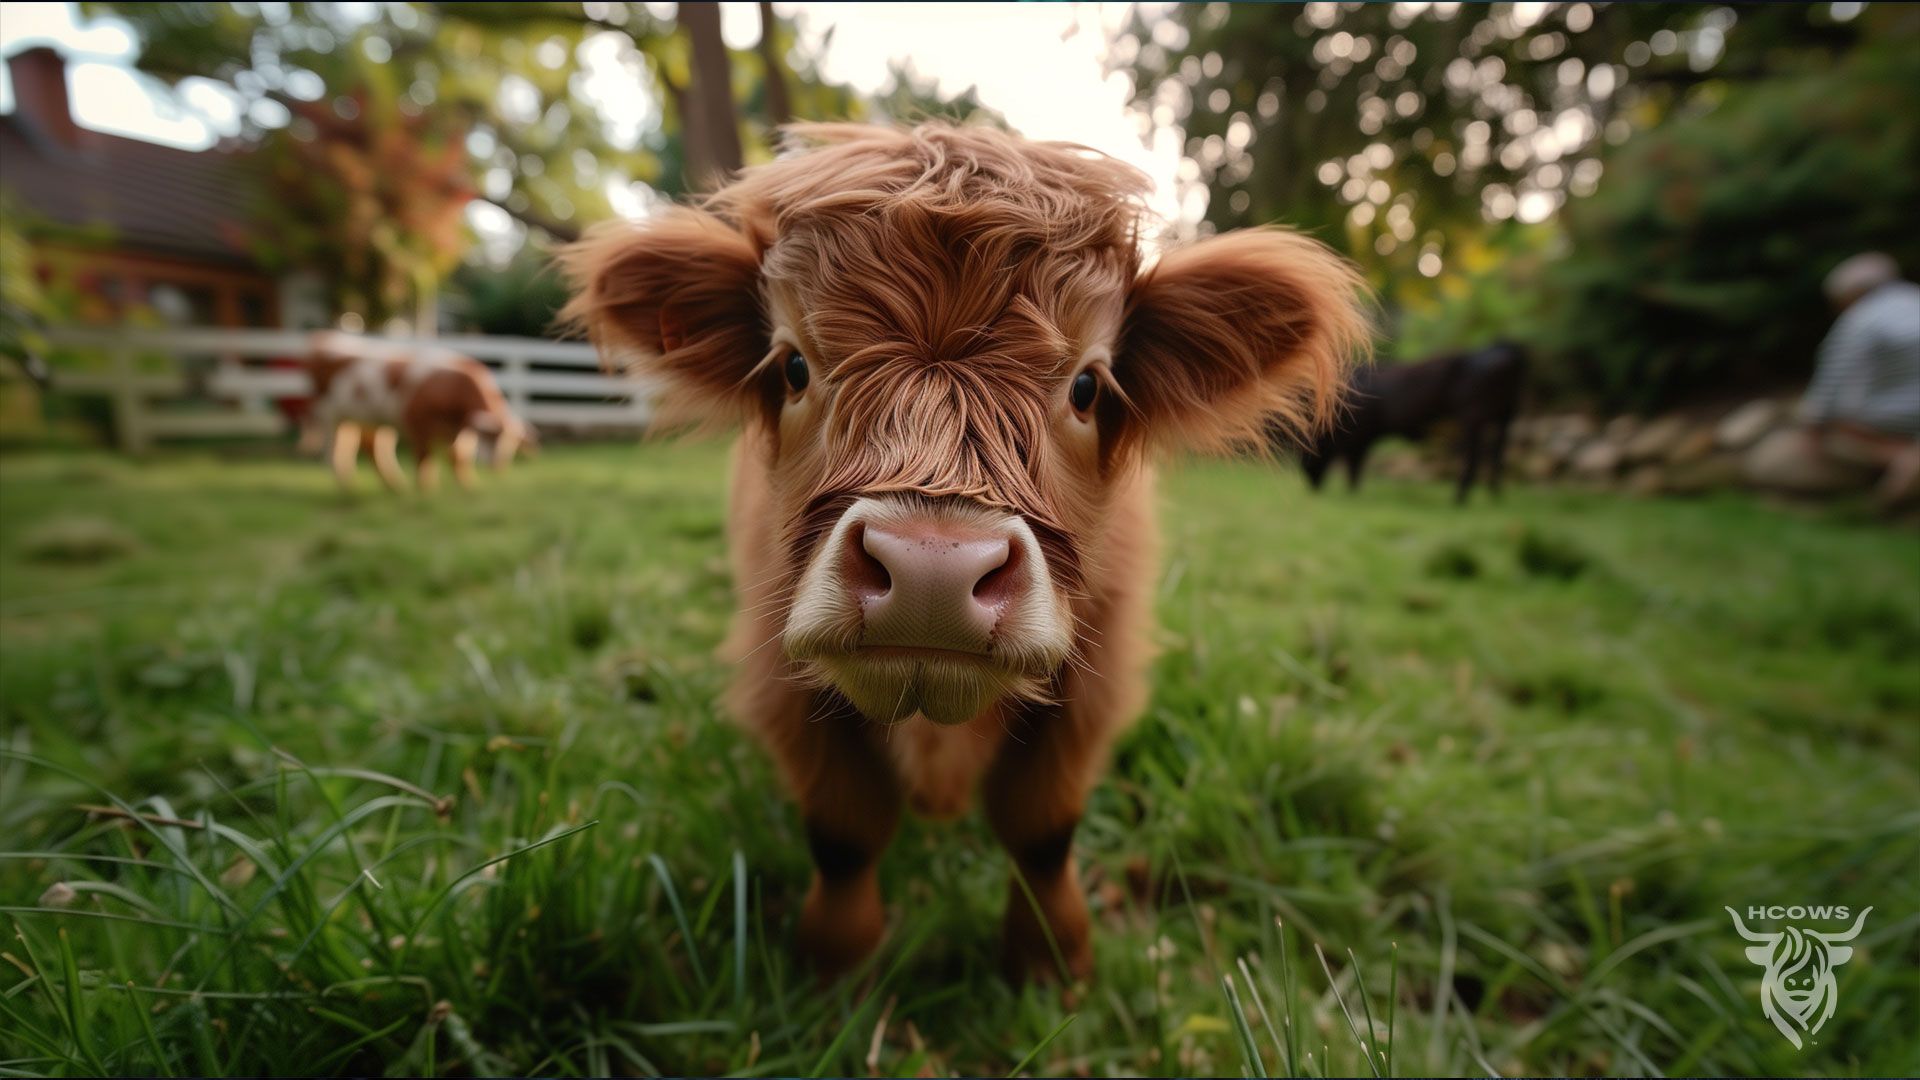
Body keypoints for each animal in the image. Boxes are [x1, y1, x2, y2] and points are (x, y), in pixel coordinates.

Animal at [300, 331, 535, 493]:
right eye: (491, 436)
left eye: (512, 442)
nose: (498, 465)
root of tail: (324, 338)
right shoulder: (418, 423)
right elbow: (425, 457)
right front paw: (426, 490)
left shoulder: (457, 432)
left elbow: (458, 458)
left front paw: (469, 488)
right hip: (330, 415)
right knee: (337, 449)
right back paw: (347, 488)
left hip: (367, 418)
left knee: (372, 447)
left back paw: (395, 487)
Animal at [563, 123, 1370, 982]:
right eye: (793, 366)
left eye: (1088, 386)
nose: (931, 574)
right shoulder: (780, 670)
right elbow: (843, 832)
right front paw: (836, 966)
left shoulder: (1097, 672)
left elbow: (1043, 830)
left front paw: (1052, 964)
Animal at [1296, 340, 1526, 504]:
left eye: (1309, 451)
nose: (1310, 485)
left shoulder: (1359, 438)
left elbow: (1355, 468)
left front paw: (1352, 493)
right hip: (1506, 417)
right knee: (1497, 455)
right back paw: (1494, 496)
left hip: (1473, 418)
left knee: (1474, 457)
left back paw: (1459, 499)